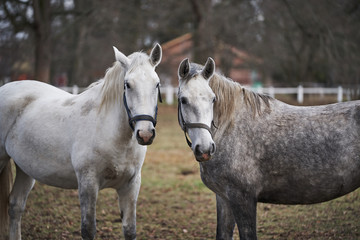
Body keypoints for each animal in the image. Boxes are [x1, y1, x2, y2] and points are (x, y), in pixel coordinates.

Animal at [0, 44, 162, 239]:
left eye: (157, 84)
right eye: (127, 85)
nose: (145, 134)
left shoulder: (130, 186)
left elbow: (130, 230)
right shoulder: (88, 184)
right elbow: (88, 229)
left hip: (25, 168)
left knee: (15, 206)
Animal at [177, 57, 360, 239]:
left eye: (213, 99)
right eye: (183, 100)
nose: (205, 149)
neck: (230, 128)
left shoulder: (243, 198)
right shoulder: (224, 198)